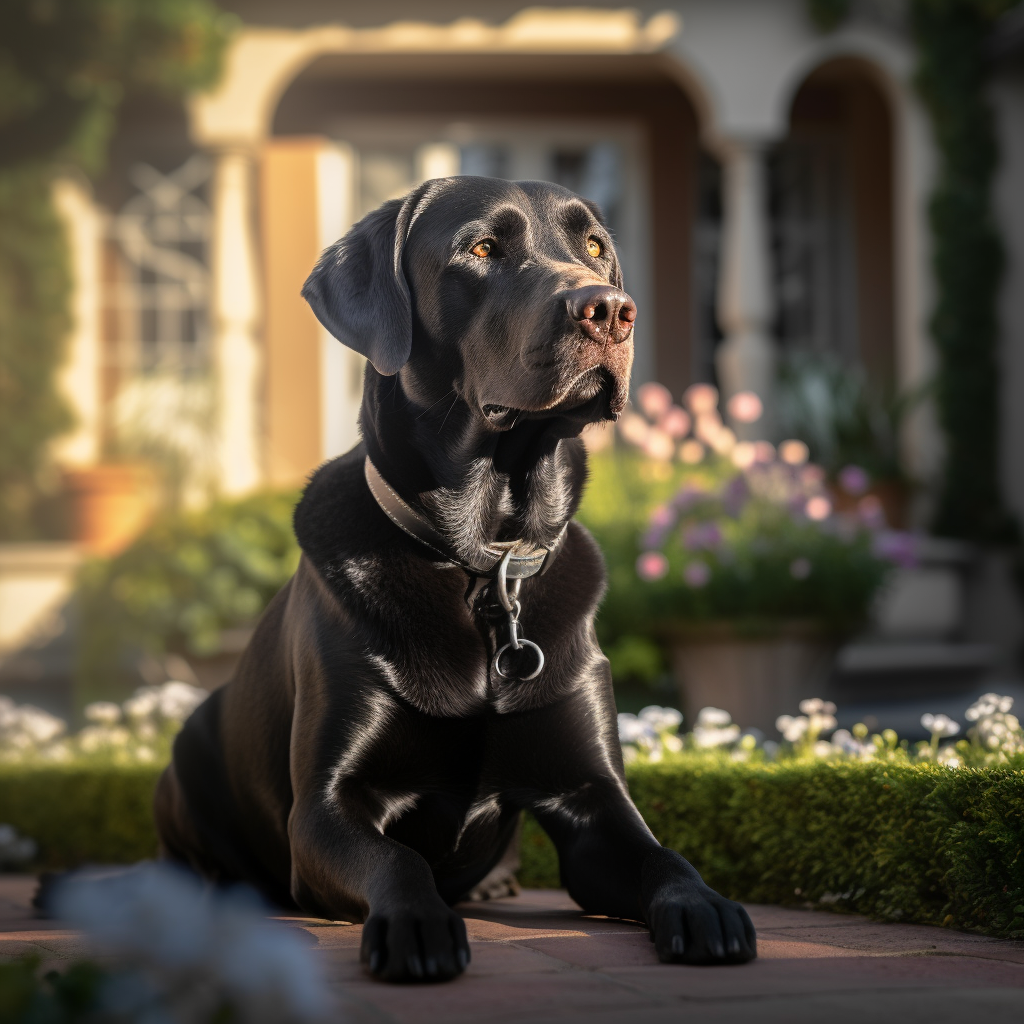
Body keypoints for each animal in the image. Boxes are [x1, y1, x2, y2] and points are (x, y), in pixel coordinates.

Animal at [155, 178, 757, 983]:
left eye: (595, 247)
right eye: (481, 248)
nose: (608, 308)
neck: (483, 561)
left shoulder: (596, 800)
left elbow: (666, 857)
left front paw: (705, 907)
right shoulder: (325, 808)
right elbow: (397, 860)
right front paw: (418, 923)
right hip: (186, 754)